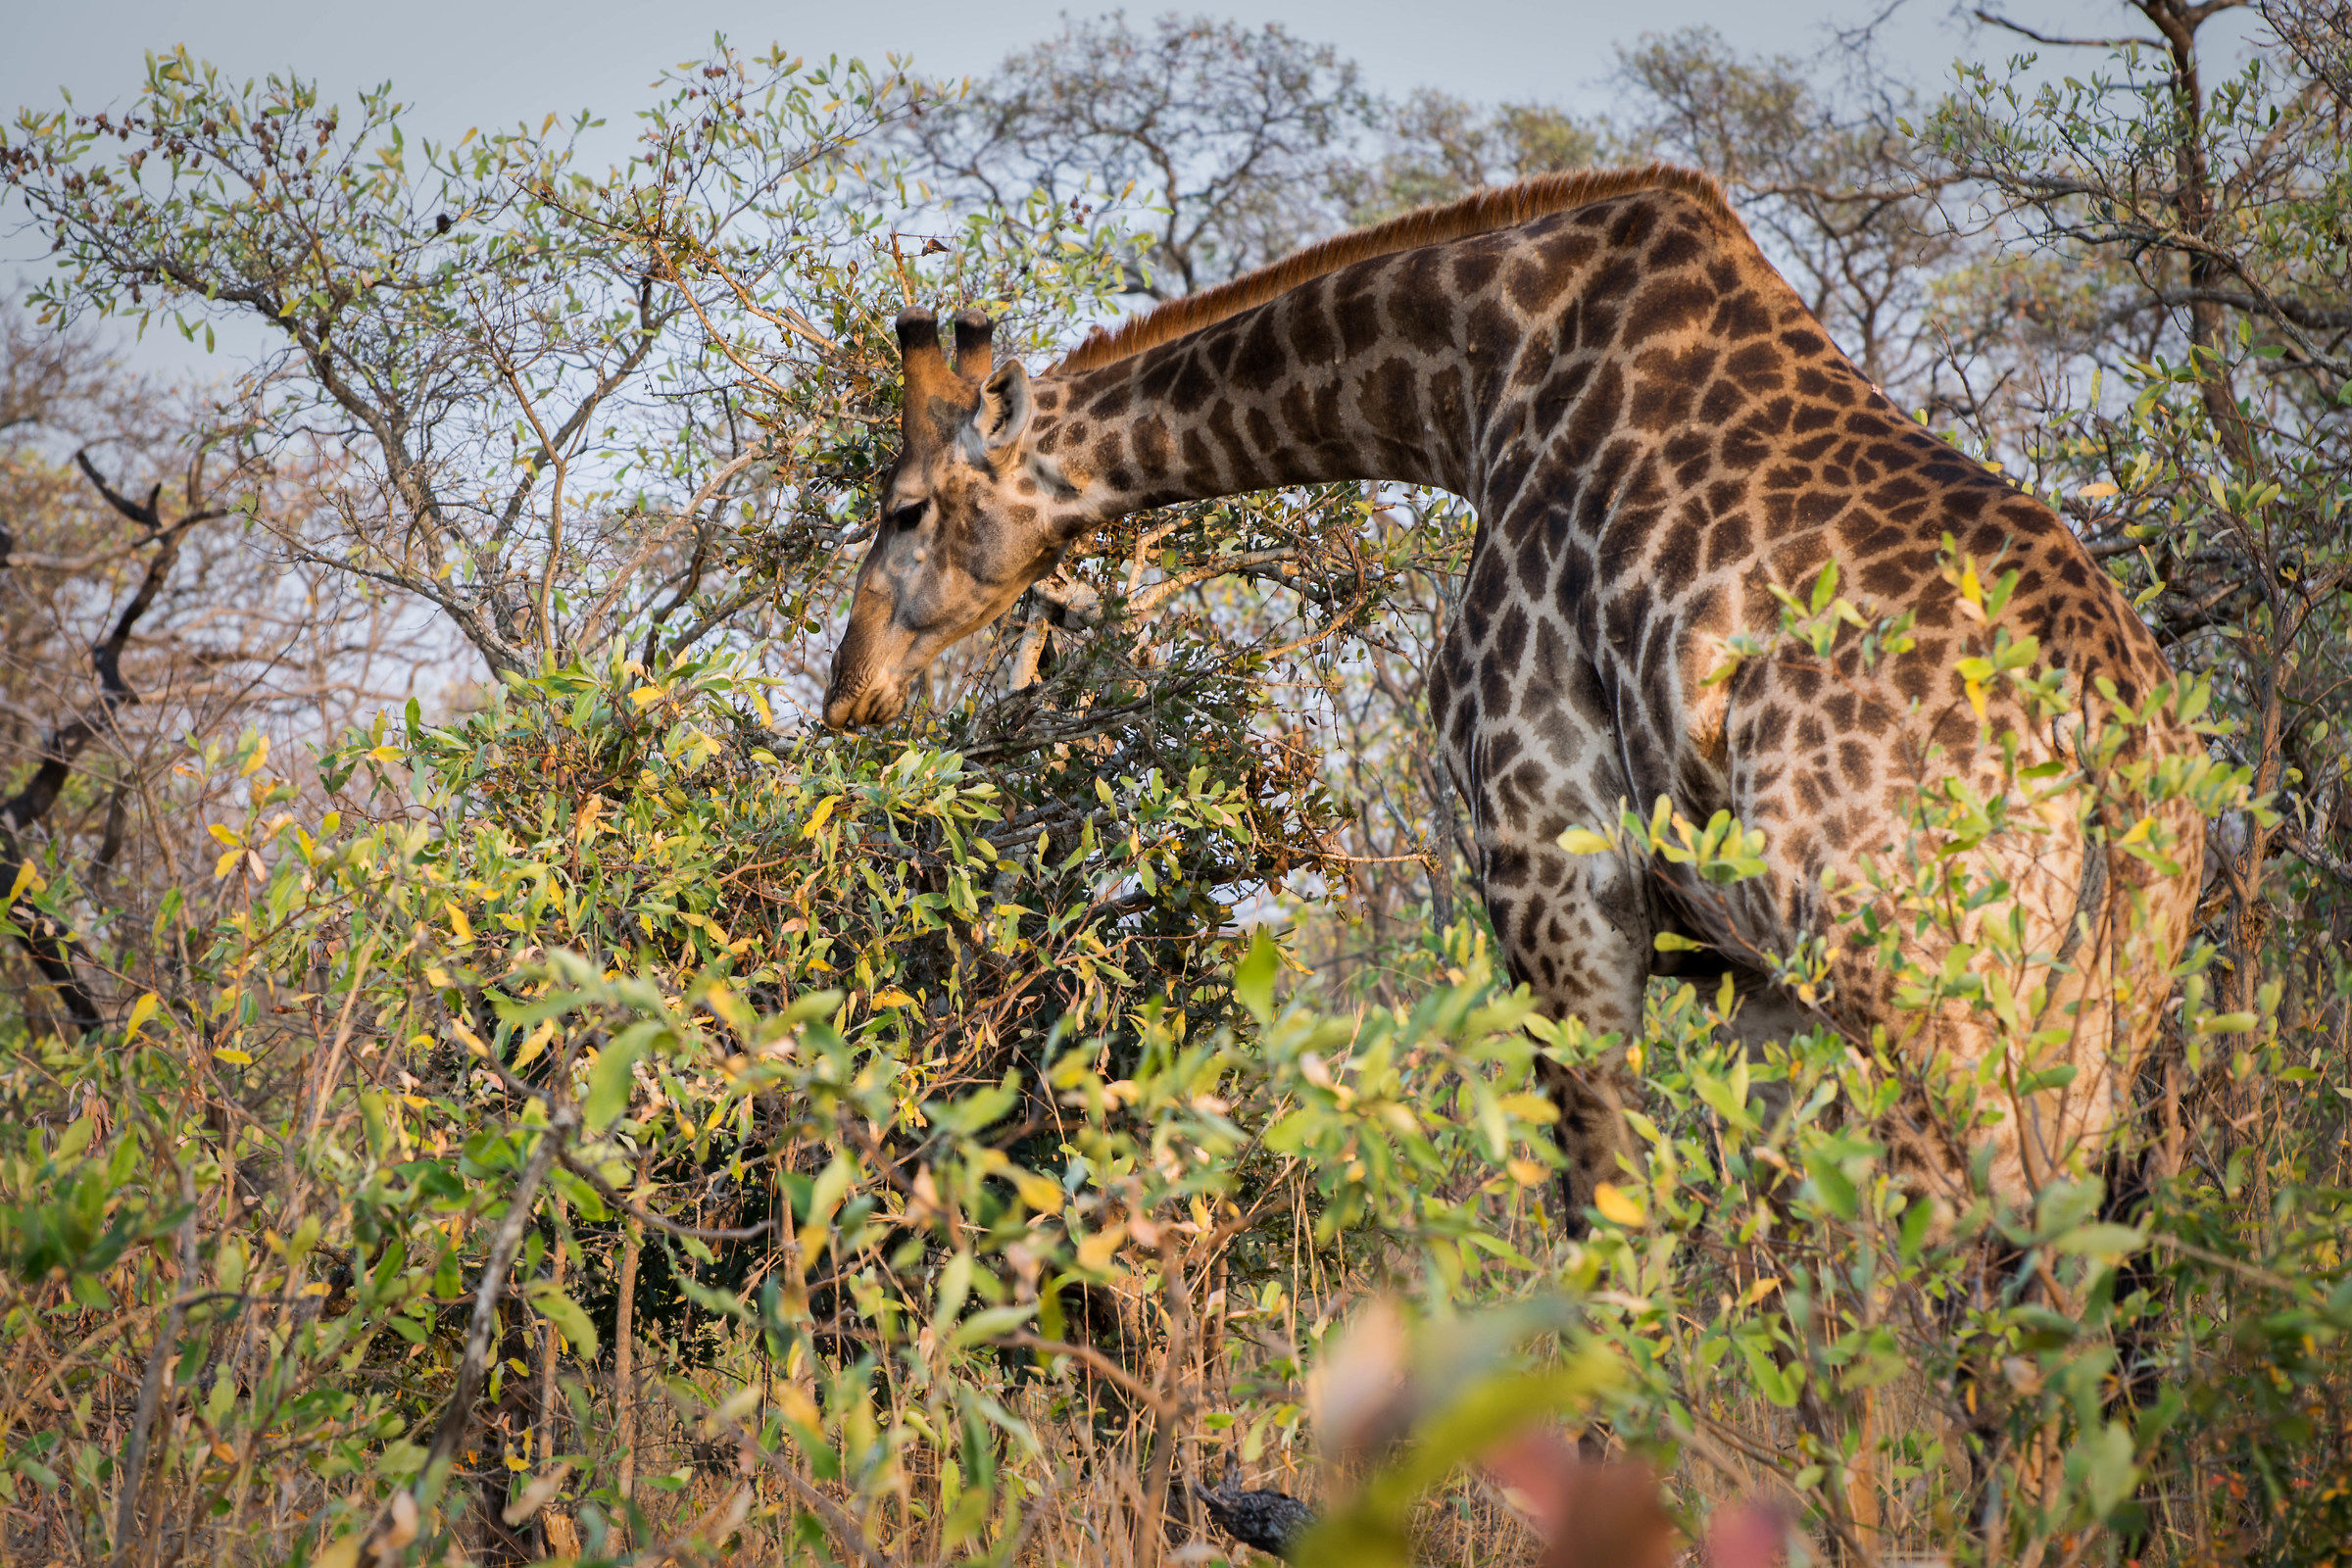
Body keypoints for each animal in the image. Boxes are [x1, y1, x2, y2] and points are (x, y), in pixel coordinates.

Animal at [822, 164, 2204, 1230]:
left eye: (904, 508)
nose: (851, 692)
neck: (1469, 382)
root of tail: (2113, 730)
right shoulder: (1752, 976)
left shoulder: (1555, 874)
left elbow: (1610, 1237)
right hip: (2098, 1012)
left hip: (1919, 988)